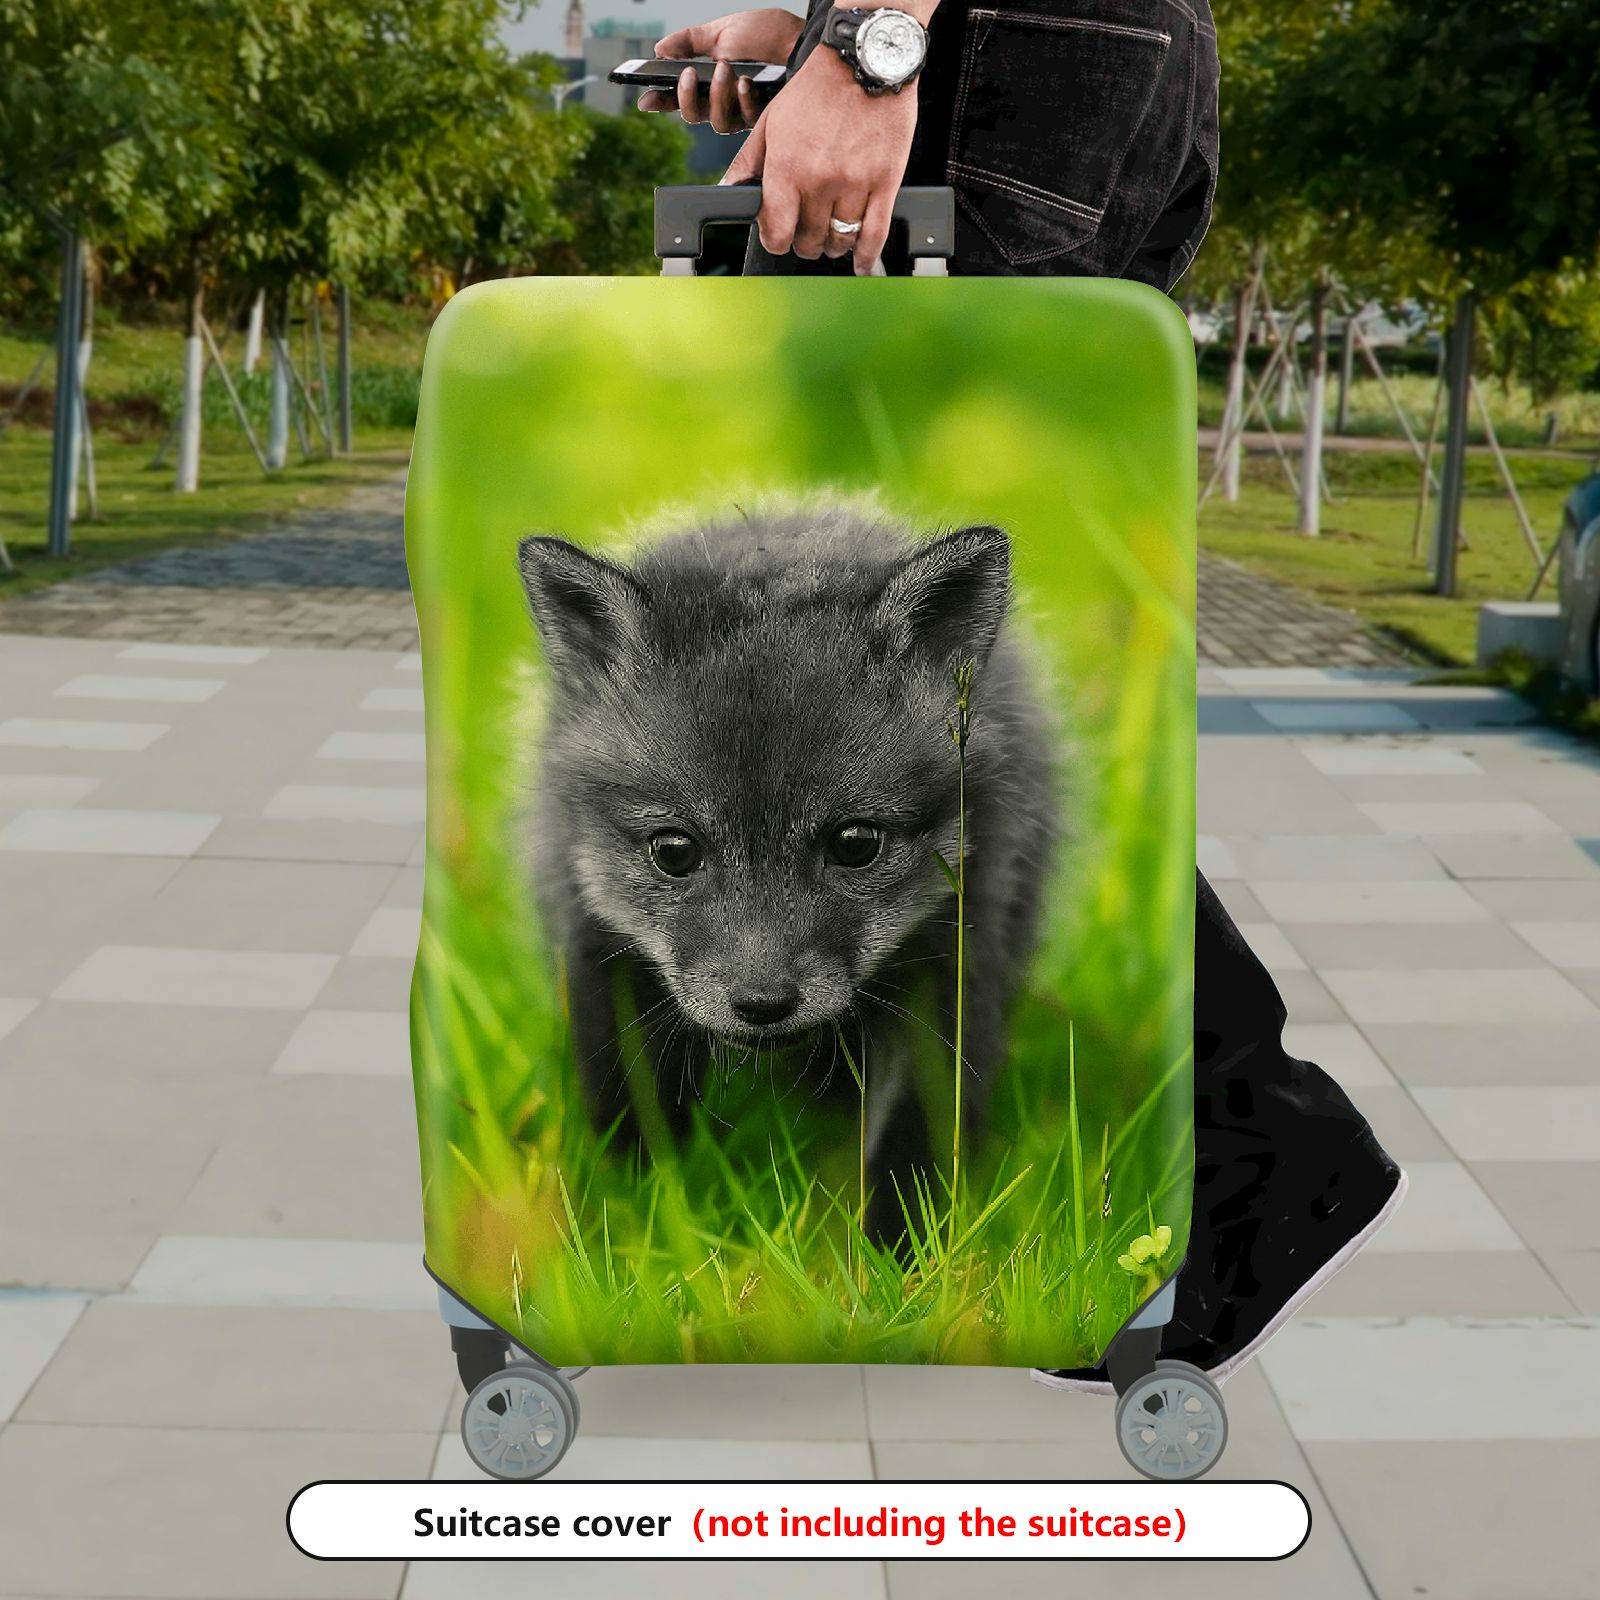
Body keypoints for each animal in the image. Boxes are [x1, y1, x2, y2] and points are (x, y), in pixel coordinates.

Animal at [517, 500, 1059, 1241]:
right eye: (674, 850)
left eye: (855, 844)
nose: (763, 1003)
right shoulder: (598, 947)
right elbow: (635, 1132)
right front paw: (641, 1234)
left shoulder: (953, 962)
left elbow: (908, 1148)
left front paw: (896, 1262)